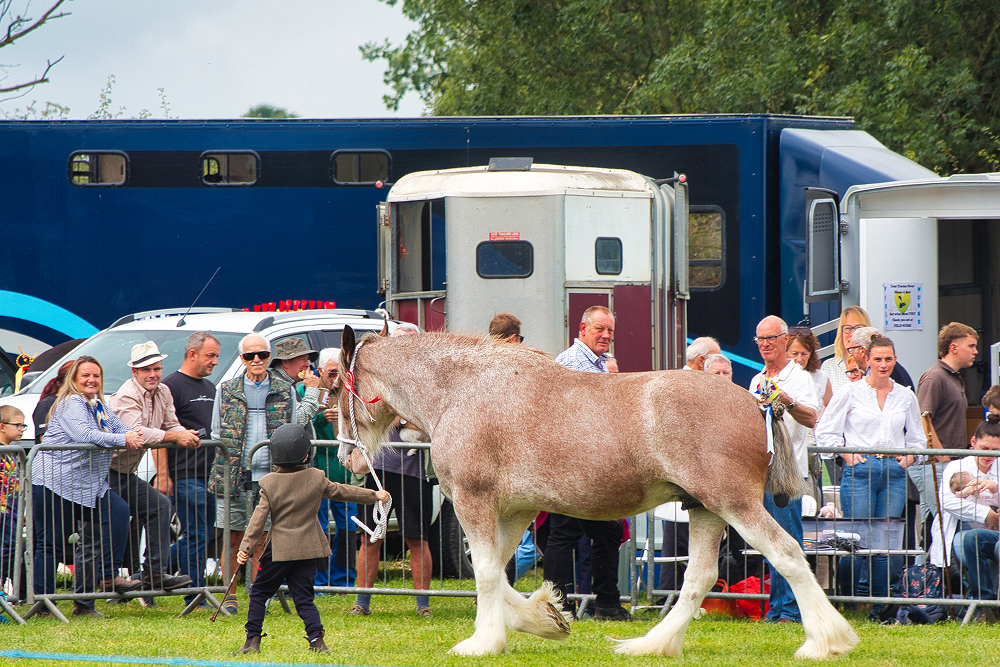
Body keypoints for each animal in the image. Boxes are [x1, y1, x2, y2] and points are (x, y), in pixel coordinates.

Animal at [336, 327, 858, 659]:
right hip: (705, 509)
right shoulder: (515, 512)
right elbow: (500, 575)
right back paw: (652, 644)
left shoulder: (473, 499)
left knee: (787, 554)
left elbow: (485, 573)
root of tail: (757, 401)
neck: (462, 390)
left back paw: (823, 641)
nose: (345, 455)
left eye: (334, 386)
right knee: (700, 577)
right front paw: (544, 617)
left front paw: (483, 642)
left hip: (736, 504)